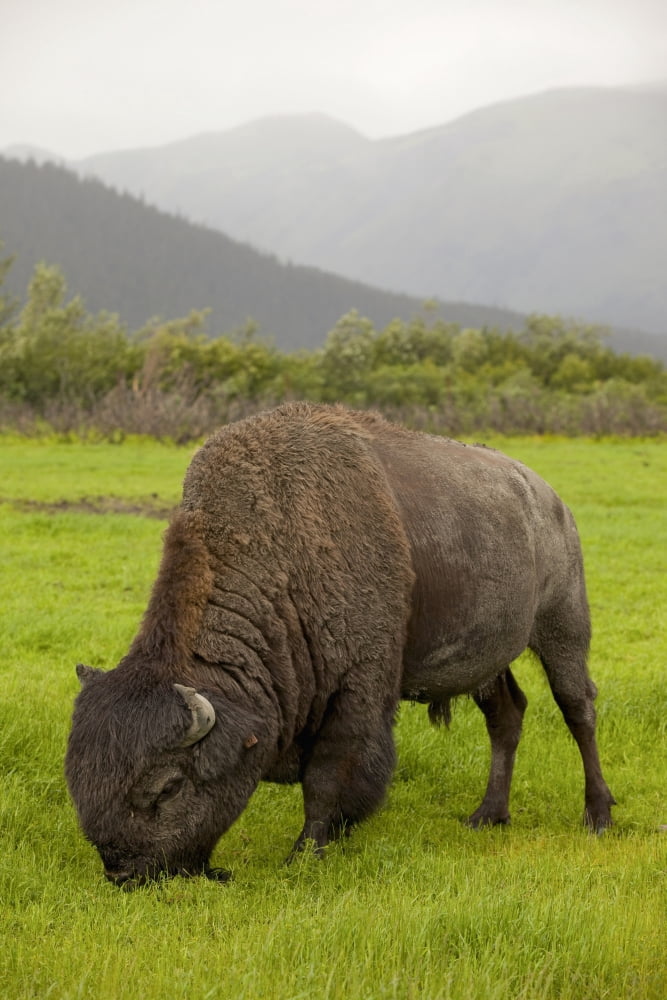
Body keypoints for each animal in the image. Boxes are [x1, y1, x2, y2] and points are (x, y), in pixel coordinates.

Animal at [65, 402, 615, 887]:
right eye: (80, 785)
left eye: (167, 787)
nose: (123, 872)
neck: (282, 548)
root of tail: (550, 500)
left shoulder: (356, 693)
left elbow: (327, 777)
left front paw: (305, 853)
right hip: (488, 661)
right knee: (506, 716)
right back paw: (487, 815)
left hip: (562, 626)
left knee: (577, 708)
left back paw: (599, 815)